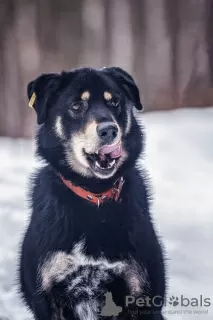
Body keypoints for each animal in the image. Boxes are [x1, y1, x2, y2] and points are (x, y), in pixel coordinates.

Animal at [19, 66, 166, 318]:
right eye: (77, 106)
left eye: (114, 102)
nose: (109, 130)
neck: (94, 196)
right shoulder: (47, 297)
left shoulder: (140, 295)